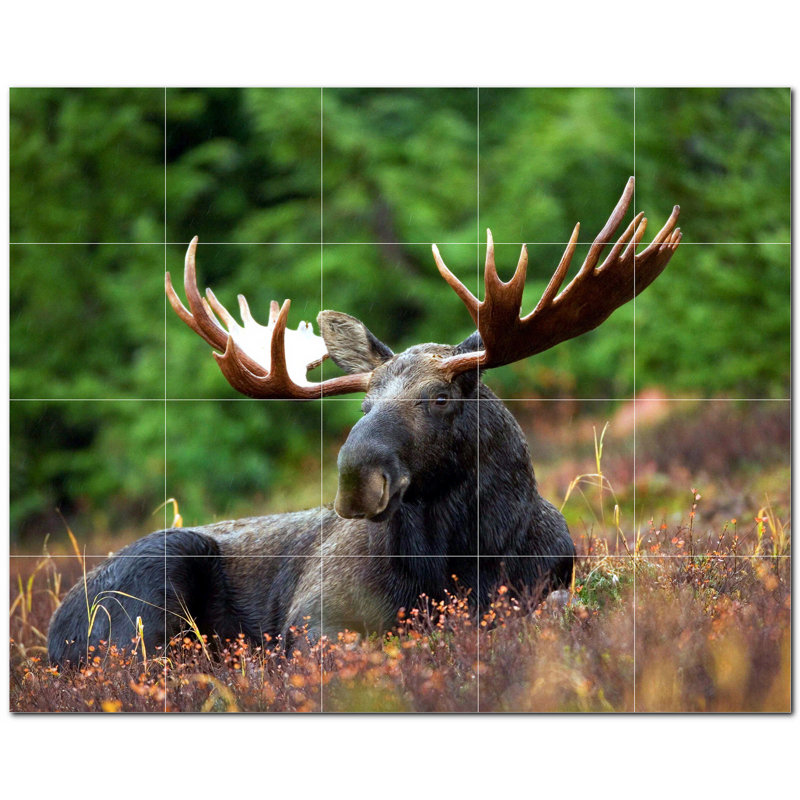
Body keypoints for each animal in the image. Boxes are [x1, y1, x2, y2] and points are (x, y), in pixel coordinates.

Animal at [47, 177, 681, 666]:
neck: (463, 560)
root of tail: (52, 633)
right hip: (152, 583)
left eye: (440, 397)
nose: (356, 479)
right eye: (364, 404)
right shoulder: (313, 616)